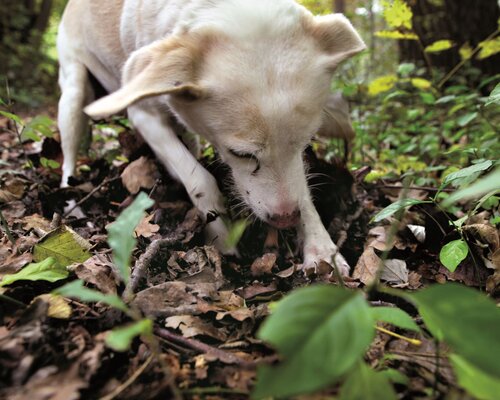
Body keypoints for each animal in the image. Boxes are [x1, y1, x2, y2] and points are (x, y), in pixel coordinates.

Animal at [57, 0, 364, 276]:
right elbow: (199, 180)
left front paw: (320, 246)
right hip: (73, 94)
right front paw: (220, 236)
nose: (286, 219)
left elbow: (302, 188)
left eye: (306, 142)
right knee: (69, 155)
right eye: (241, 154)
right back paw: (70, 200)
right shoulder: (143, 114)